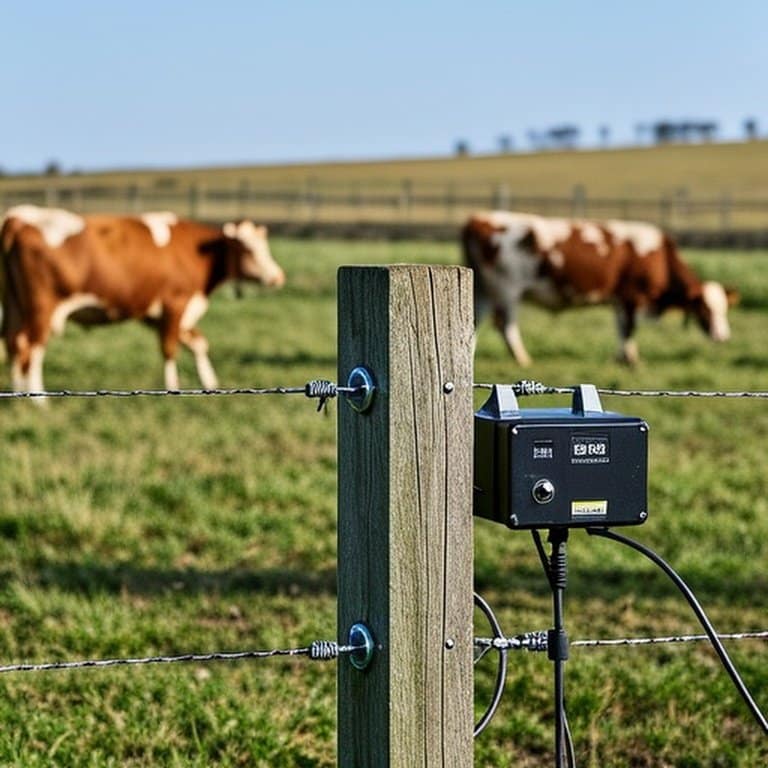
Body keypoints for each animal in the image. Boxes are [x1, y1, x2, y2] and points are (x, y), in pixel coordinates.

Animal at [0, 205, 285, 395]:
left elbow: (198, 343)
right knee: (31, 347)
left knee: (14, 343)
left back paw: (18, 390)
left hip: (15, 306)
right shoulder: (175, 304)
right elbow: (169, 348)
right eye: (249, 250)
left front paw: (209, 382)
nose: (277, 276)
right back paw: (39, 399)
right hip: (42, 308)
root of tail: (18, 218)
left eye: (264, 247)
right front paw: (172, 387)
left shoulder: (158, 314)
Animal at [462, 210, 737, 366]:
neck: (659, 256)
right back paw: (523, 359)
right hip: (506, 291)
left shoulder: (618, 300)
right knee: (506, 326)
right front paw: (632, 360)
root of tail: (479, 219)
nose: (723, 336)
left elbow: (621, 329)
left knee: (475, 322)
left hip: (484, 291)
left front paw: (622, 357)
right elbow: (629, 329)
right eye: (705, 309)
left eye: (724, 309)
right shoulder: (630, 297)